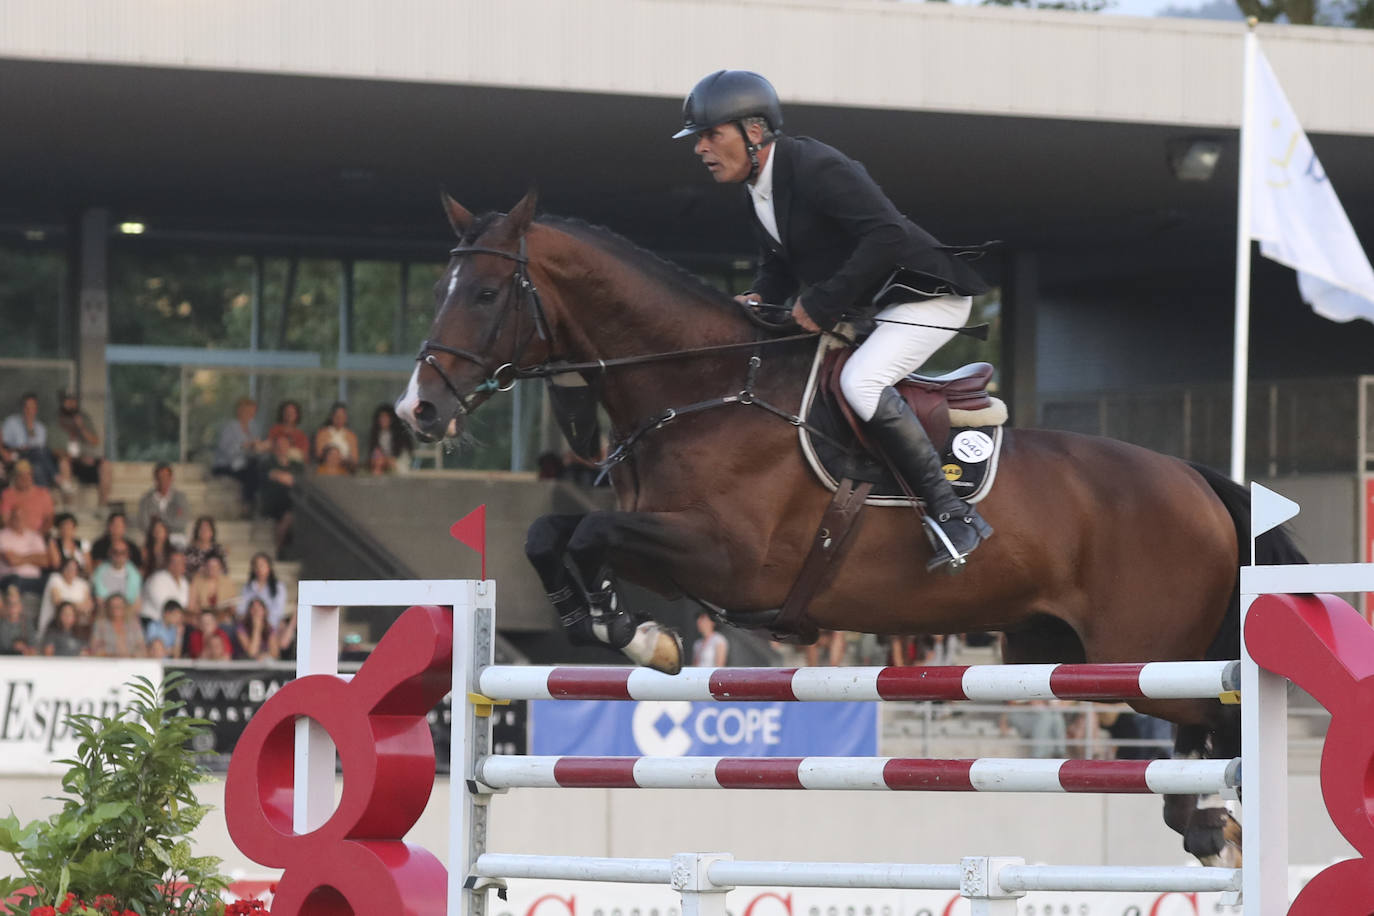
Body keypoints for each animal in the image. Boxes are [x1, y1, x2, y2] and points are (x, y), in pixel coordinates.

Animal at [395, 192, 1297, 867]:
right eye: (438, 292)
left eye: (484, 294)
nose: (419, 411)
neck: (703, 386)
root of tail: (1195, 478)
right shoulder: (663, 539)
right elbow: (552, 535)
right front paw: (617, 624)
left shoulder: (726, 559)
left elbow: (582, 537)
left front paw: (637, 633)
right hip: (1062, 650)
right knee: (1190, 743)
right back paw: (1207, 827)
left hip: (1145, 654)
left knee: (1215, 722)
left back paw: (1220, 826)